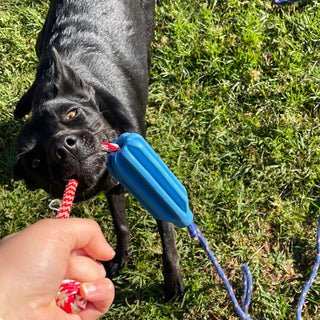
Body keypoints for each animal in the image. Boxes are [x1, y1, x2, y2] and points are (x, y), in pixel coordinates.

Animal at [13, 0, 185, 300]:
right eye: (34, 162)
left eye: (72, 113)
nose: (62, 146)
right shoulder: (114, 190)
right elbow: (121, 224)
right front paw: (120, 257)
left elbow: (166, 234)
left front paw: (172, 281)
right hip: (40, 39)